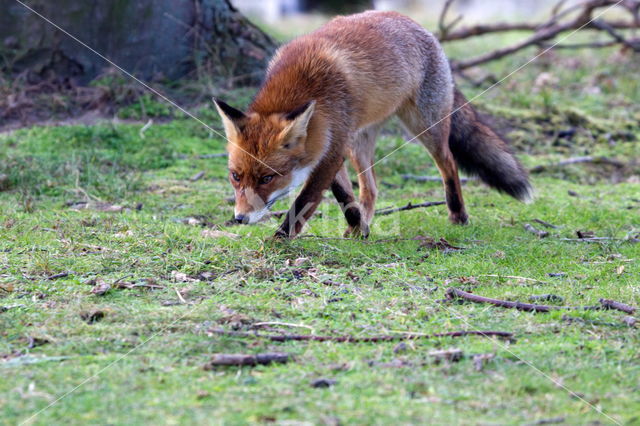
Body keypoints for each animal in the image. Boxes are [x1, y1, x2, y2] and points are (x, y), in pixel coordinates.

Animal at [212, 10, 532, 238]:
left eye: (267, 178)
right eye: (235, 176)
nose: (239, 218)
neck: (303, 86)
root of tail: (419, 26)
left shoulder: (332, 147)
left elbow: (305, 200)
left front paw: (280, 239)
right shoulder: (331, 145)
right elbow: (344, 196)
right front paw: (359, 229)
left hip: (424, 126)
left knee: (449, 163)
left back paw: (458, 214)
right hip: (359, 142)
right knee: (371, 188)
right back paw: (362, 221)